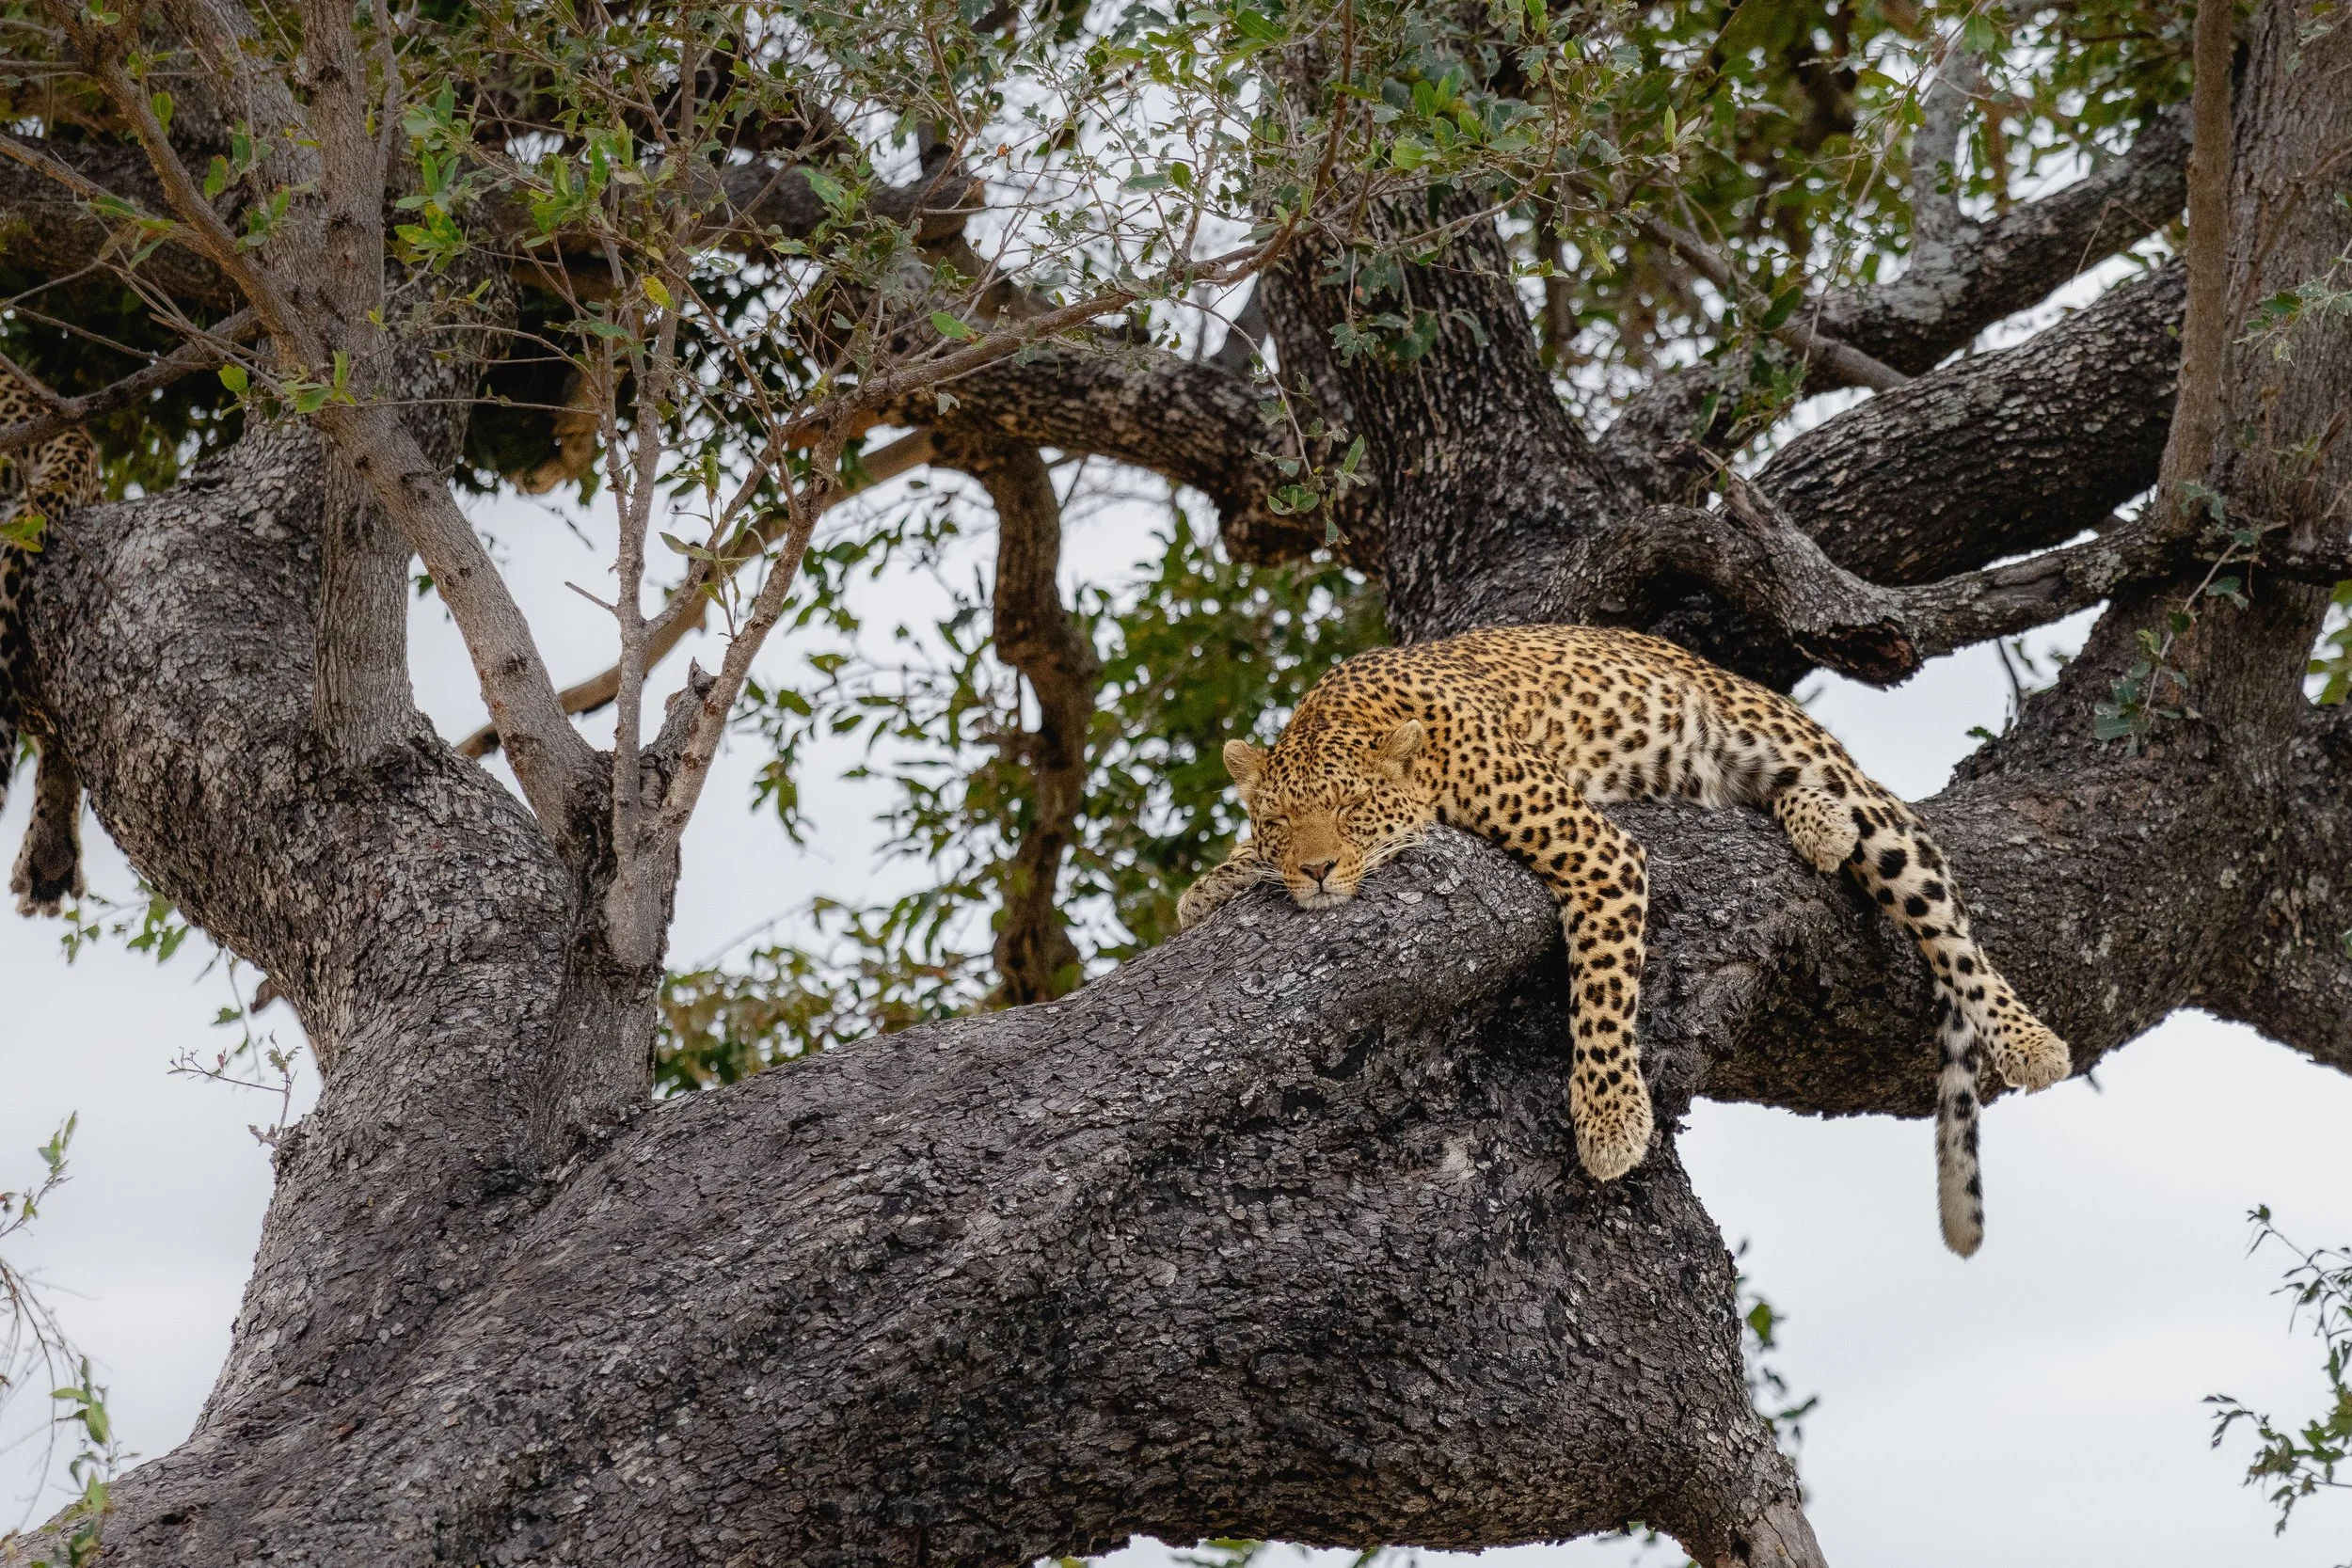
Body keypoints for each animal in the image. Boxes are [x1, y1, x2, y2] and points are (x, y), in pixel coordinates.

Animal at [1177, 622, 2071, 1257]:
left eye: (1352, 809)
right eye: (1280, 821)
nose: (1318, 870)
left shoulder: (1596, 850)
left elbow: (1601, 993)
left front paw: (1610, 1121)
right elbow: (1233, 869)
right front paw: (1213, 883)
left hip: (1816, 762)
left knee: (1943, 918)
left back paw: (2029, 1040)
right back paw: (1819, 827)